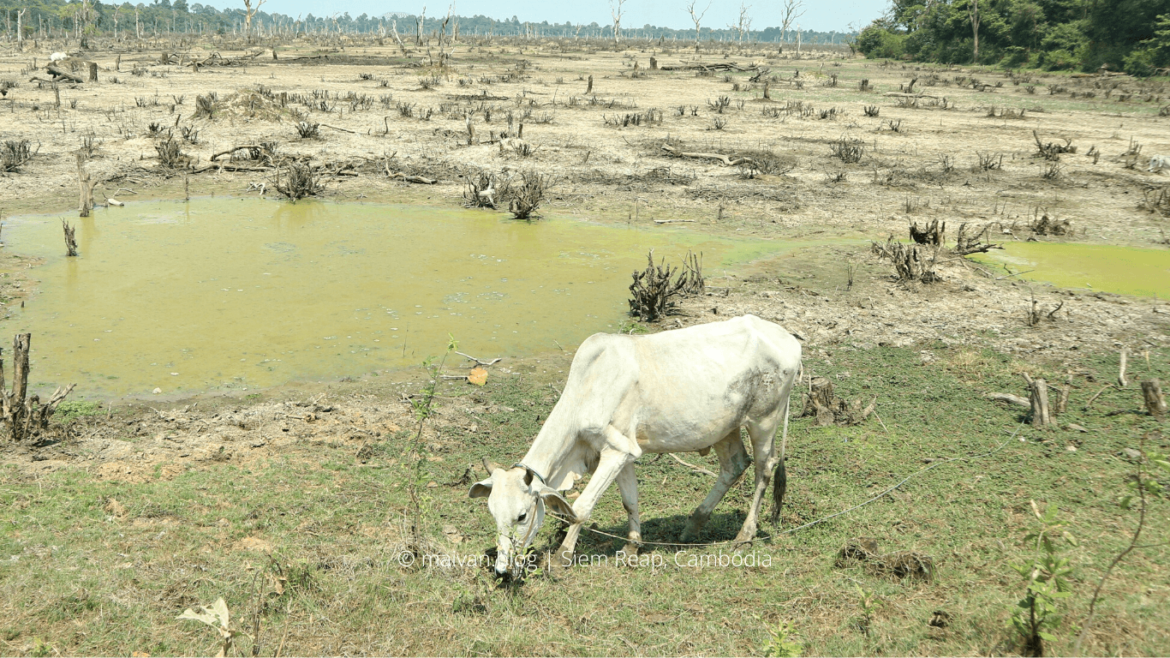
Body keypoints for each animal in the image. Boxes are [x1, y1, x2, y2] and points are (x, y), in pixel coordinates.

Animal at [470, 311, 800, 573]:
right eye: (492, 513)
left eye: (522, 515)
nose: (502, 570)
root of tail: (790, 339)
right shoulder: (623, 453)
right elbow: (630, 501)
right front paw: (632, 547)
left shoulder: (616, 451)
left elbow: (582, 506)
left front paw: (563, 556)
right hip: (724, 427)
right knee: (734, 465)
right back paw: (692, 526)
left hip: (764, 420)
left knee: (764, 469)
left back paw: (744, 534)